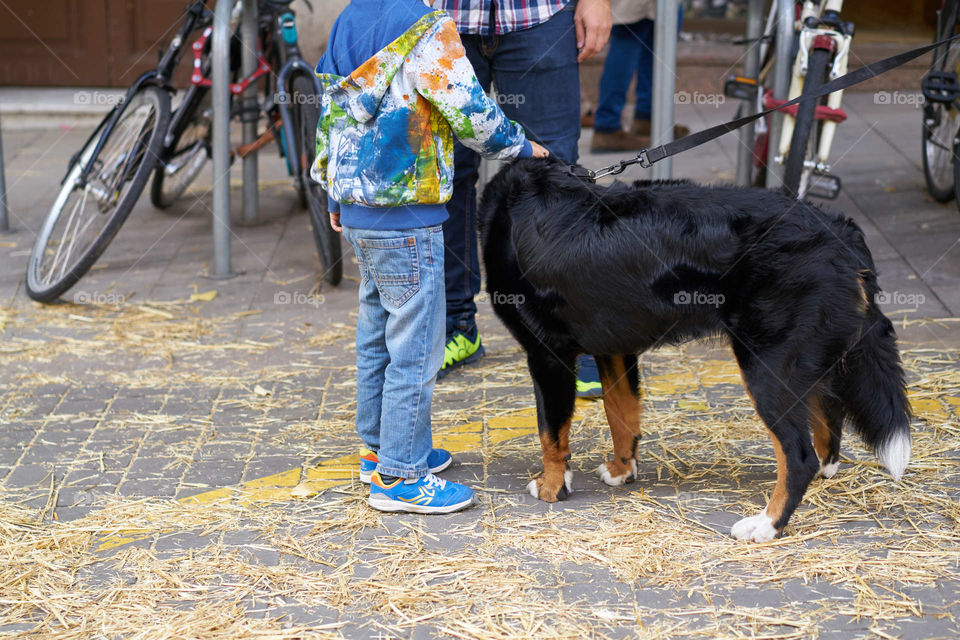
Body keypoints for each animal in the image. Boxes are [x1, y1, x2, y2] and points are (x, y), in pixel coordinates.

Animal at [476, 155, 912, 540]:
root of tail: (842, 234)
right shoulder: (613, 345)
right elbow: (620, 413)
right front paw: (621, 470)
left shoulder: (547, 352)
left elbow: (551, 432)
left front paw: (551, 487)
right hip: (804, 357)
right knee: (828, 423)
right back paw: (821, 476)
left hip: (767, 364)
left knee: (798, 455)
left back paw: (766, 525)